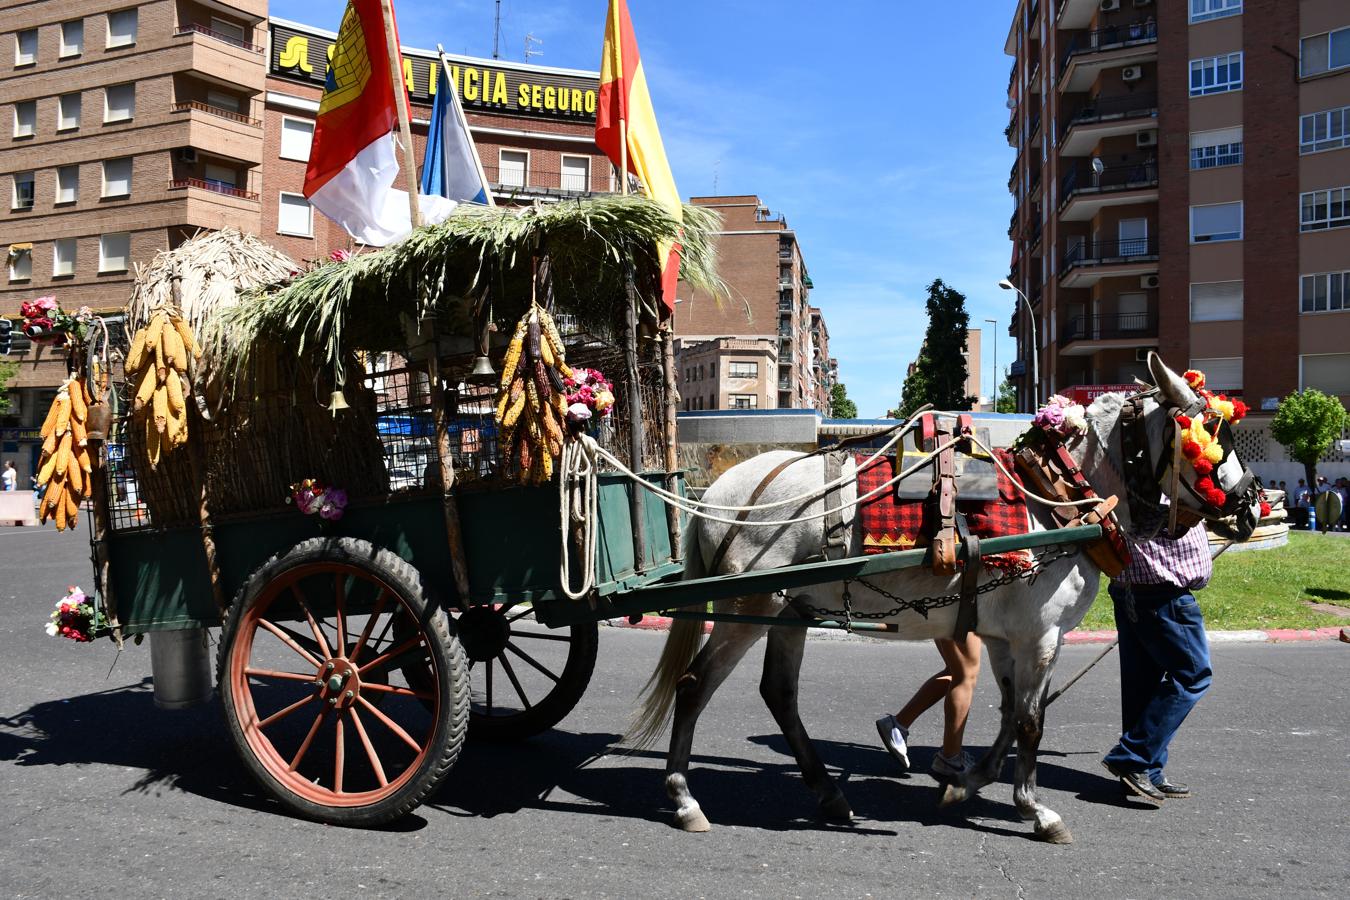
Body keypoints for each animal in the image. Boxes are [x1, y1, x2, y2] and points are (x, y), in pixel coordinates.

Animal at [626, 353, 1258, 847]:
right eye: (1213, 433)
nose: (1254, 502)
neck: (1055, 499)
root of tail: (722, 493)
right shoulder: (1041, 637)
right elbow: (1031, 722)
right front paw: (1037, 810)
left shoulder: (1007, 637)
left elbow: (1008, 715)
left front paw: (966, 784)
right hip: (750, 610)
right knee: (694, 686)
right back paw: (683, 798)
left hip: (789, 612)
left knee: (779, 694)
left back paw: (829, 793)